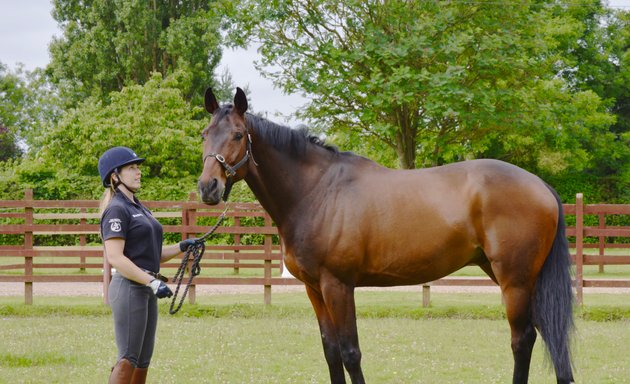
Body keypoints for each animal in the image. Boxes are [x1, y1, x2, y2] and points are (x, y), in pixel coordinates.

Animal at [199, 88, 576, 384]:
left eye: (237, 135)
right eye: (204, 134)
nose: (208, 187)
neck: (316, 191)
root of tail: (540, 185)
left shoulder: (338, 285)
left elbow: (350, 352)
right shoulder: (314, 288)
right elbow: (331, 351)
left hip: (515, 280)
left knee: (522, 340)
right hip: (517, 277)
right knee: (548, 336)